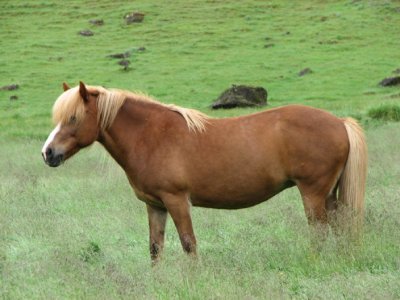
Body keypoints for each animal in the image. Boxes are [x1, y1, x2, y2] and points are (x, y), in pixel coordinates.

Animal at [42, 82, 368, 262]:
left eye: (73, 118)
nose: (48, 153)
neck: (151, 135)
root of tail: (339, 122)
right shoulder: (155, 206)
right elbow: (155, 248)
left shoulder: (177, 201)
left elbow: (189, 244)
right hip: (329, 194)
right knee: (339, 227)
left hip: (312, 193)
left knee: (320, 232)